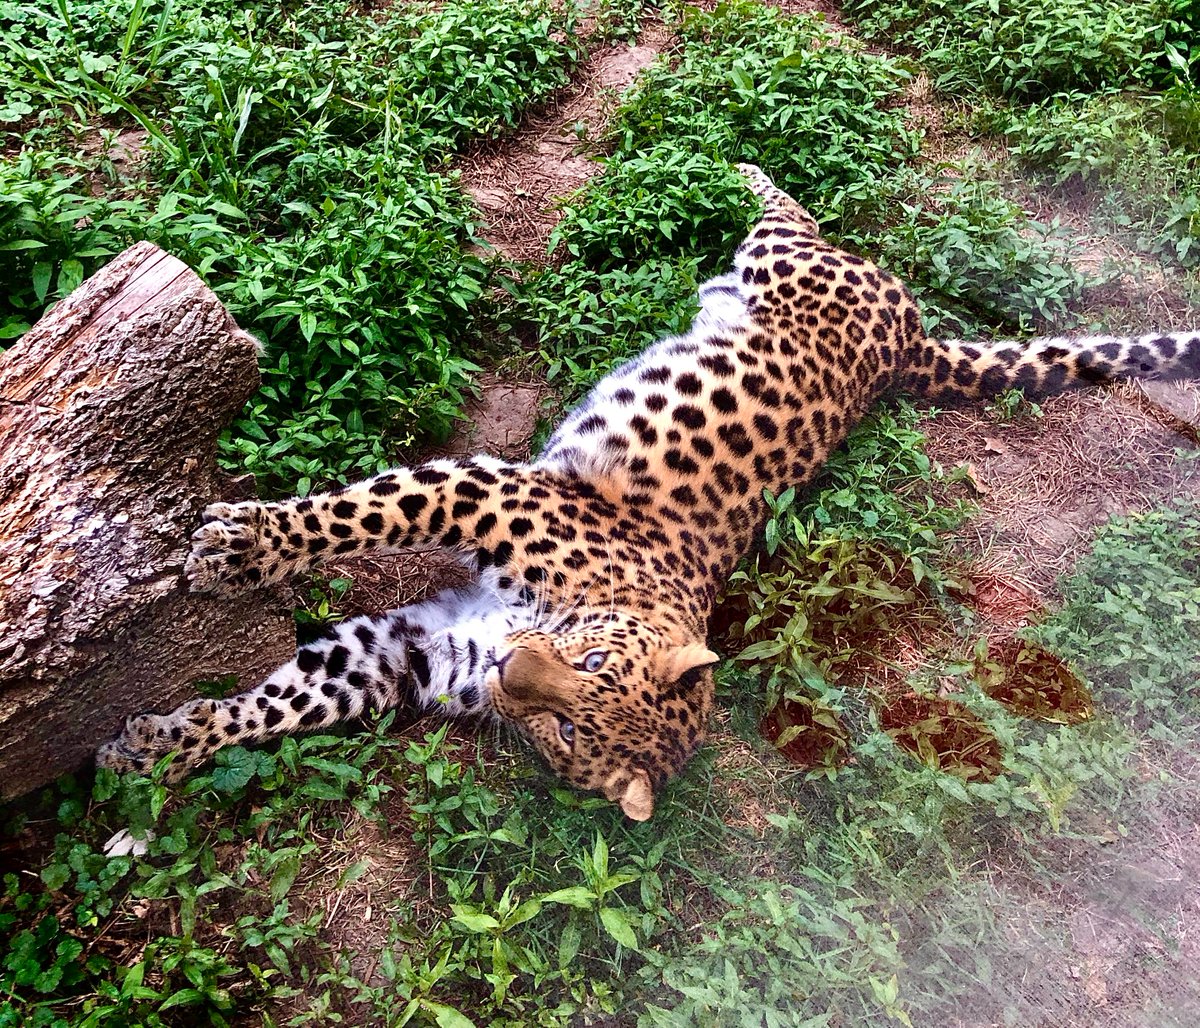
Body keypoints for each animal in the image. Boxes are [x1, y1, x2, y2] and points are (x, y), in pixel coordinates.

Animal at [97, 163, 1200, 821]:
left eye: (568, 732)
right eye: (589, 668)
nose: (519, 678)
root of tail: (912, 343)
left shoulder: (410, 647)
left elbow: (288, 701)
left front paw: (155, 743)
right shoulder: (487, 491)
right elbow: (357, 510)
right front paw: (237, 547)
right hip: (788, 262)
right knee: (792, 211)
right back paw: (729, 159)